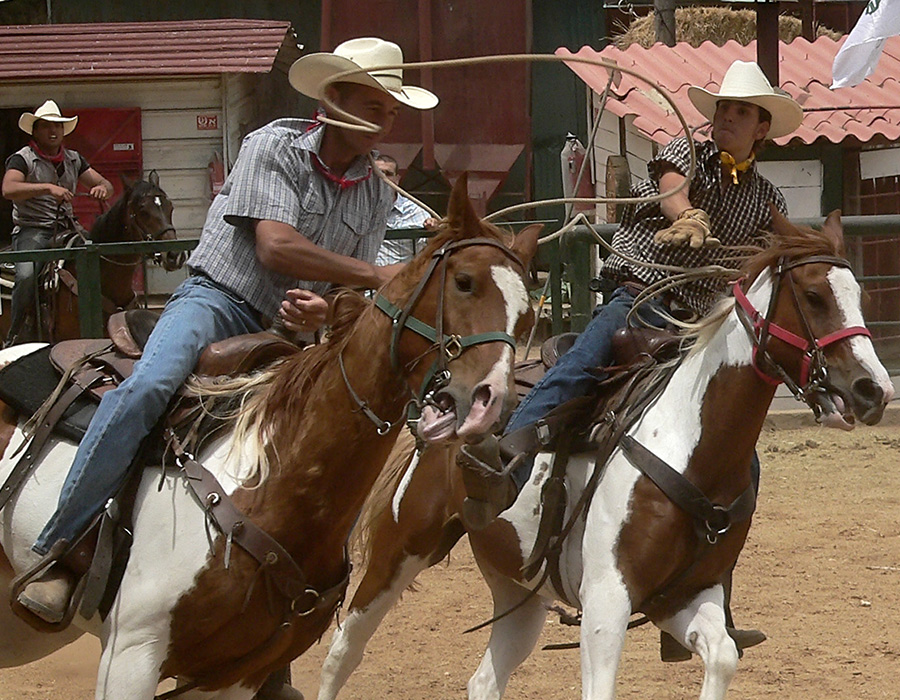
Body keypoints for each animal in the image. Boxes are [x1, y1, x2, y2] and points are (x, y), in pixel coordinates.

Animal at [0, 176, 536, 700]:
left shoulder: (234, 673)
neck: (270, 486)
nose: (492, 401)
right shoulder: (131, 654)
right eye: (464, 283)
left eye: (527, 315)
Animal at [316, 209, 892, 700]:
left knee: (484, 680)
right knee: (342, 651)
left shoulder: (684, 597)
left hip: (518, 591)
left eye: (860, 296)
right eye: (814, 295)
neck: (689, 444)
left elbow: (724, 655)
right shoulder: (606, 603)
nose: (874, 391)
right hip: (399, 549)